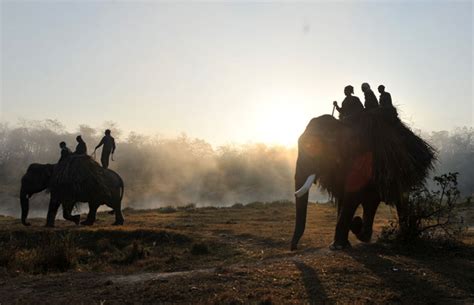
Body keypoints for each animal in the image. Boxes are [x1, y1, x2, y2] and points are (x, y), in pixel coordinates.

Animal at [290, 110, 438, 249]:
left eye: (315, 148)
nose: (294, 248)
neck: (341, 127)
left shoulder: (363, 160)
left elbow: (352, 196)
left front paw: (337, 246)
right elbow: (342, 196)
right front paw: (345, 240)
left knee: (398, 201)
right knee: (371, 203)